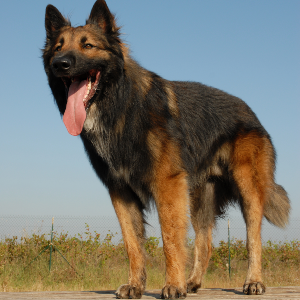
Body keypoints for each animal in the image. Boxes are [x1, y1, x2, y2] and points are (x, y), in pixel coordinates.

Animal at [42, 1, 290, 298]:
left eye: (88, 45)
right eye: (58, 47)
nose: (60, 63)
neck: (121, 108)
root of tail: (251, 112)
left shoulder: (167, 185)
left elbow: (170, 240)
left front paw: (172, 285)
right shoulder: (121, 191)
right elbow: (133, 245)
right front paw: (136, 285)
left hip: (247, 188)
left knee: (254, 238)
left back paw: (253, 281)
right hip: (199, 198)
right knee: (205, 243)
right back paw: (193, 282)